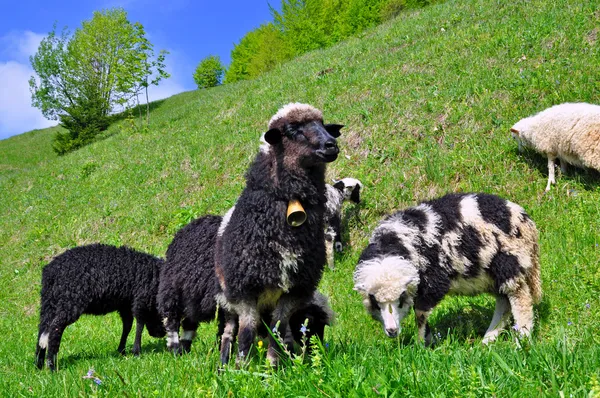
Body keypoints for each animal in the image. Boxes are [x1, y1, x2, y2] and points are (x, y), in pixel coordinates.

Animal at [35, 244, 166, 372]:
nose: (161, 334)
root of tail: (51, 272)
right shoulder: (141, 300)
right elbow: (139, 325)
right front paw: (136, 352)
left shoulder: (125, 304)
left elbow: (127, 326)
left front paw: (122, 351)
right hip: (70, 301)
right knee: (55, 328)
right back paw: (52, 367)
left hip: (49, 303)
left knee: (42, 329)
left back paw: (38, 365)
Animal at [158, 215, 338, 354]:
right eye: (310, 322)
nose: (317, 351)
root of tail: (192, 224)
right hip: (172, 289)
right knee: (171, 319)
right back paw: (175, 350)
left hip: (193, 295)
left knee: (189, 321)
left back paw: (185, 349)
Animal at [214, 103, 342, 366]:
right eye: (292, 130)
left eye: (323, 125)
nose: (331, 145)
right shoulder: (244, 289)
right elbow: (246, 332)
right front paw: (243, 368)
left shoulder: (296, 288)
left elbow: (278, 329)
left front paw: (273, 367)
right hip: (227, 298)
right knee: (230, 332)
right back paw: (223, 366)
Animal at [354, 193, 540, 346]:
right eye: (375, 303)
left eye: (400, 299)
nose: (392, 331)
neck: (393, 243)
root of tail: (525, 220)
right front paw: (427, 340)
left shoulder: (433, 283)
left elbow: (420, 314)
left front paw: (420, 345)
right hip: (491, 276)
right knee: (504, 303)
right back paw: (488, 340)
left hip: (509, 265)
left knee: (520, 300)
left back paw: (522, 339)